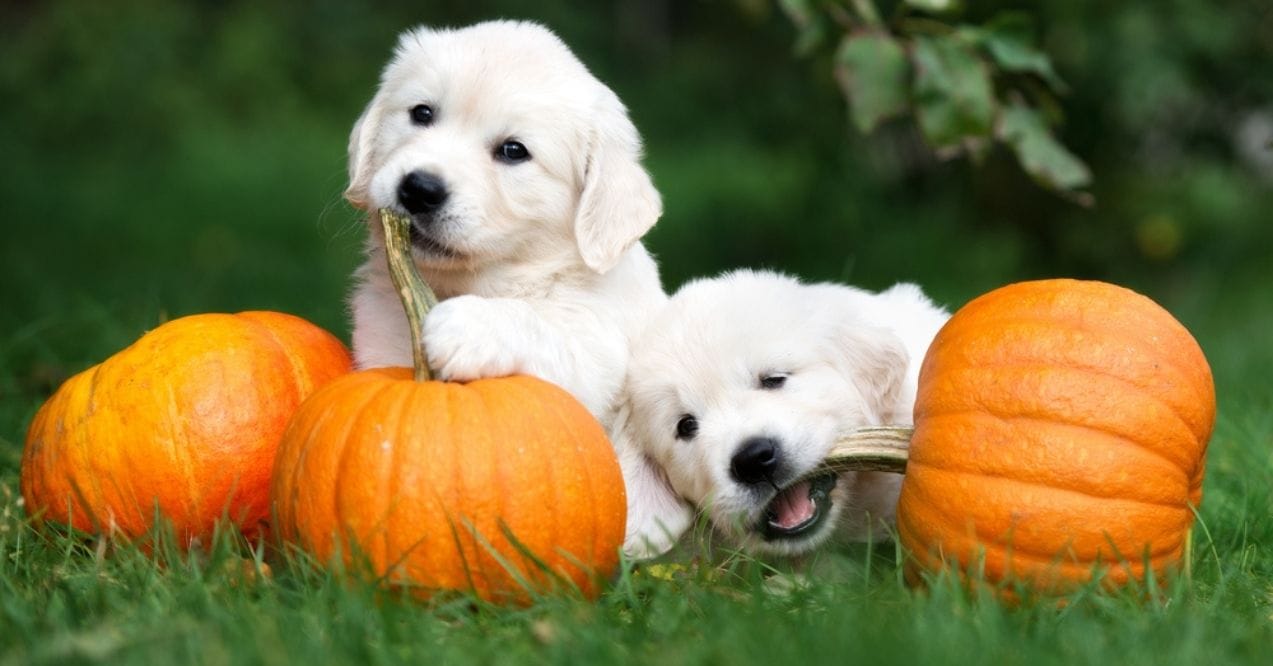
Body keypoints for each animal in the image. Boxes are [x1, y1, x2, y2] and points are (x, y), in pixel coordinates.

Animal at [348, 22, 667, 427]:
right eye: (421, 113)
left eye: (513, 151)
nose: (419, 190)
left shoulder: (601, 355)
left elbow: (543, 326)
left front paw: (467, 324)